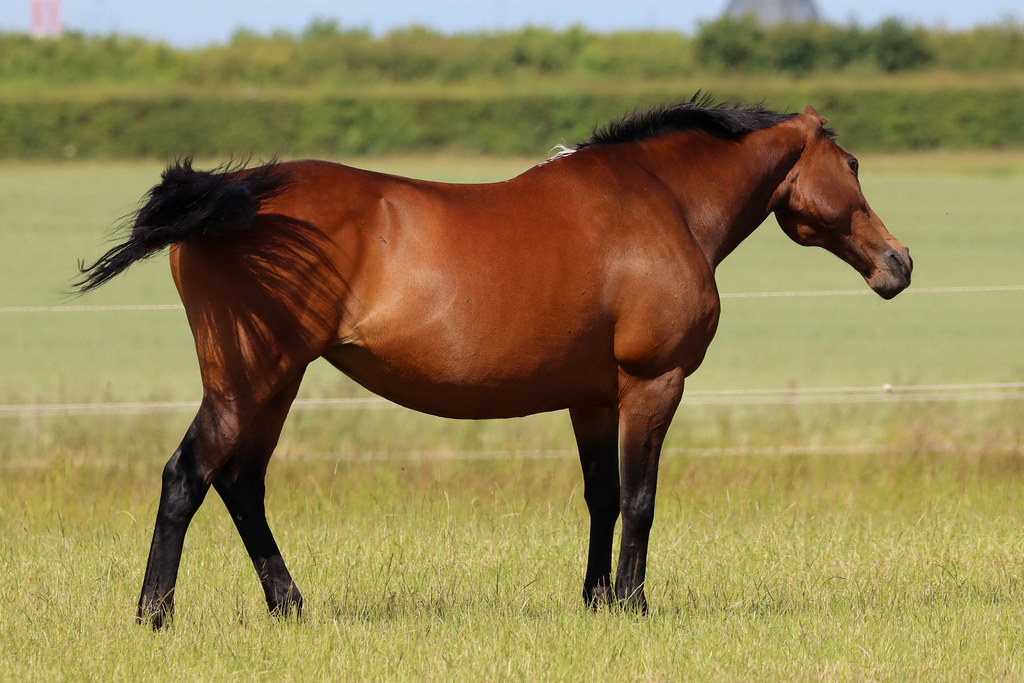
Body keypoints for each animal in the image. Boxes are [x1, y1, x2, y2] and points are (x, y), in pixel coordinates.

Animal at [76, 95, 912, 628]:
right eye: (852, 164)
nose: (897, 263)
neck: (659, 202)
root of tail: (234, 190)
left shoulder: (591, 397)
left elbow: (603, 497)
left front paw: (595, 601)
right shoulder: (652, 385)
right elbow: (641, 498)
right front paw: (634, 605)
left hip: (275, 381)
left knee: (241, 483)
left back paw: (290, 605)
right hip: (250, 377)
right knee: (188, 476)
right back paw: (156, 614)